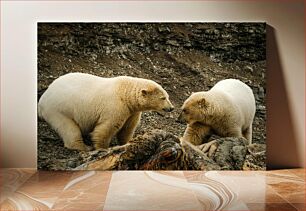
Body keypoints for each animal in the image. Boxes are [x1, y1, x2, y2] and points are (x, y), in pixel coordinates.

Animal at [37, 73, 175, 151]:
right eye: (163, 98)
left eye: (168, 96)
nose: (171, 108)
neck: (124, 93)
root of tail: (42, 99)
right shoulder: (115, 106)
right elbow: (107, 128)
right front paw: (102, 148)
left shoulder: (131, 111)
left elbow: (127, 128)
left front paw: (127, 143)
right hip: (59, 110)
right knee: (69, 128)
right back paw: (83, 147)